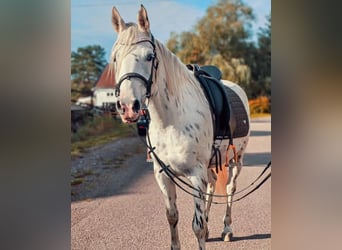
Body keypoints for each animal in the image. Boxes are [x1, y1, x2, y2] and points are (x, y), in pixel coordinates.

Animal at [111, 5, 250, 250]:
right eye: (115, 58)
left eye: (149, 56)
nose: (128, 106)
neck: (170, 122)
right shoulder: (163, 175)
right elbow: (172, 217)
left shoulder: (195, 173)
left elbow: (197, 226)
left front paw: (206, 230)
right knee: (212, 187)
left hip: (236, 161)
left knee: (229, 191)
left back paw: (227, 229)